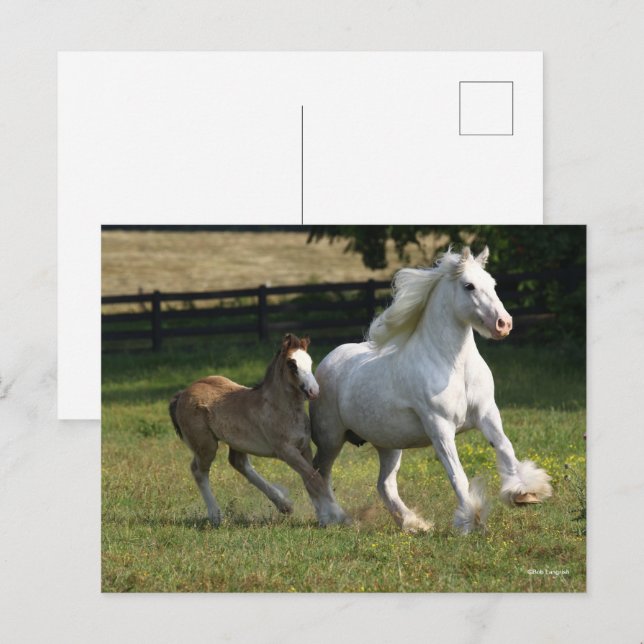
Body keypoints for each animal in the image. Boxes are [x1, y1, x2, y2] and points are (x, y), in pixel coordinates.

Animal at [169, 333, 346, 526]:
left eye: (310, 361)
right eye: (292, 364)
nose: (314, 391)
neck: (282, 408)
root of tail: (183, 394)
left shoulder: (303, 446)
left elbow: (312, 479)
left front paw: (325, 516)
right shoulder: (286, 451)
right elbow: (315, 479)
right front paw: (338, 515)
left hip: (236, 442)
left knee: (238, 463)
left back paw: (284, 505)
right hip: (206, 445)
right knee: (198, 471)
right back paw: (215, 515)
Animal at [310, 246, 552, 533]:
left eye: (492, 284)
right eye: (469, 286)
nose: (503, 324)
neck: (454, 366)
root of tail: (326, 361)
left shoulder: (487, 413)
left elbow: (505, 447)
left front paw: (525, 492)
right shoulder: (440, 426)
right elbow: (457, 475)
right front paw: (471, 518)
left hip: (389, 444)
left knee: (385, 484)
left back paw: (415, 524)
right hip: (330, 438)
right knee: (318, 474)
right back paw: (332, 517)